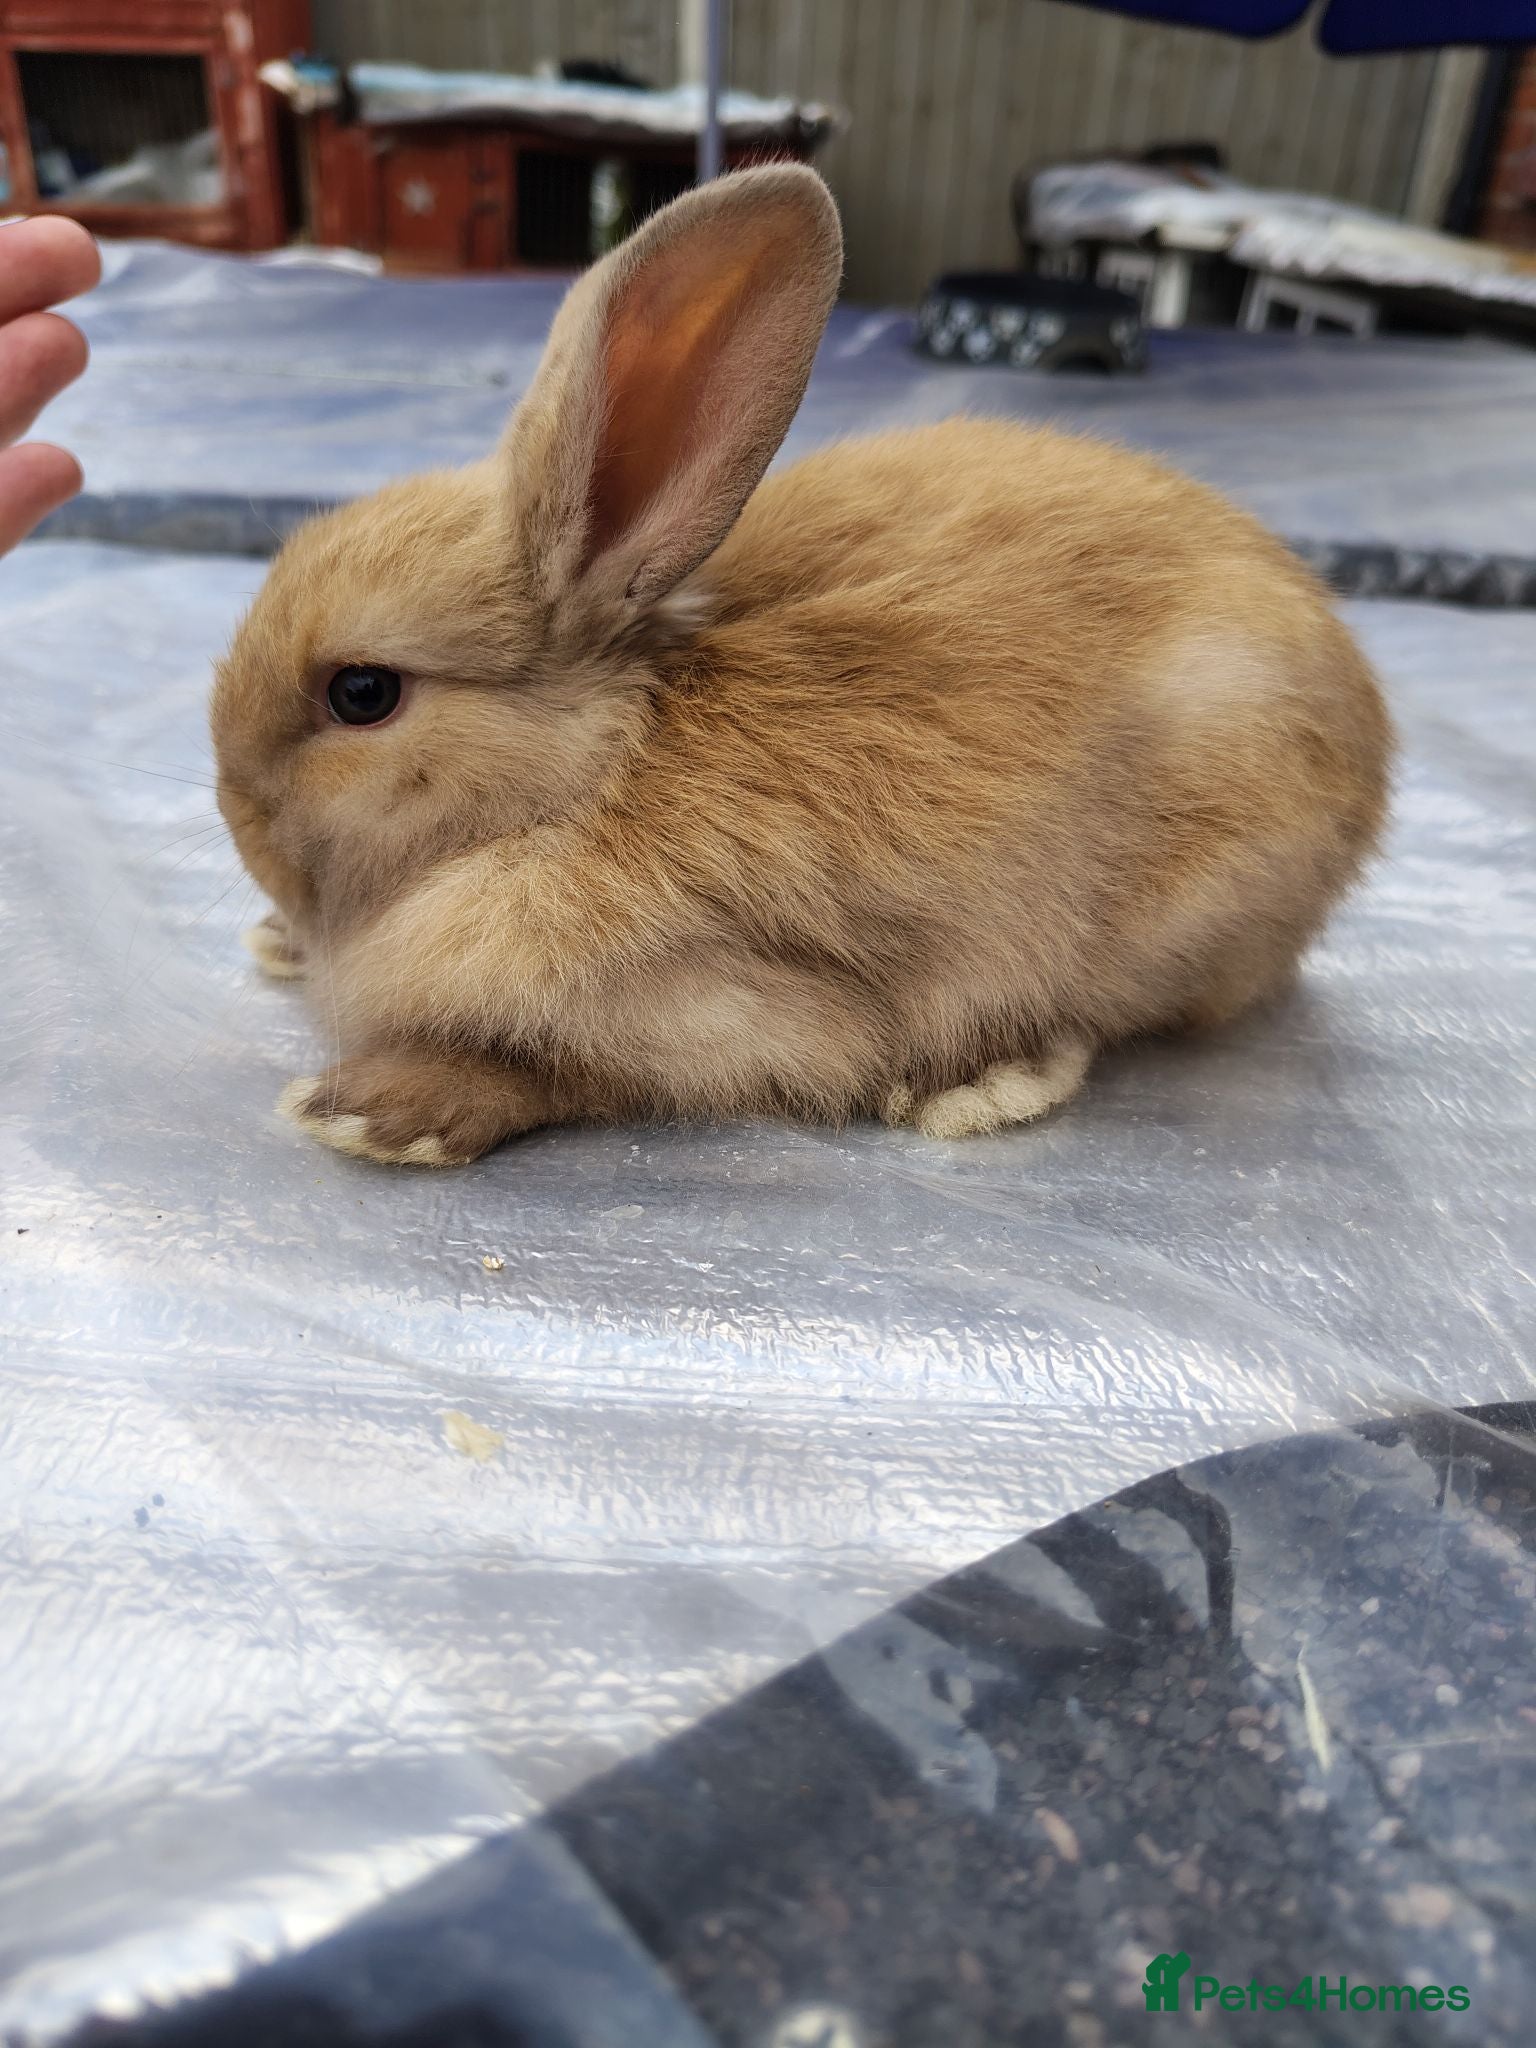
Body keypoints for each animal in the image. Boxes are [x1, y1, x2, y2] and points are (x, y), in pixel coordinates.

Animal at [211, 164, 1392, 1167]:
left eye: (362, 693)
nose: (239, 816)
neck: (592, 774)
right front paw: (283, 948)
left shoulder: (730, 1008)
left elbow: (563, 1067)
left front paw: (374, 1109)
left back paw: (979, 1082)